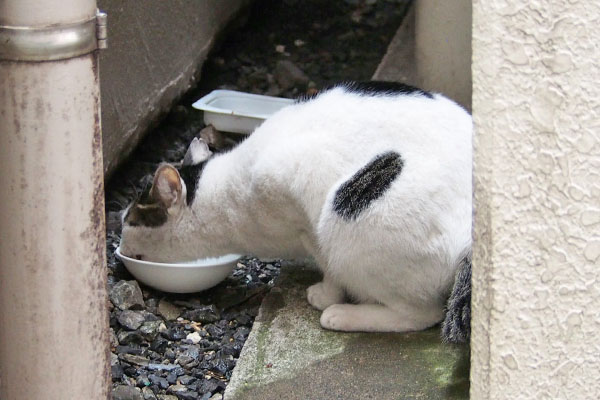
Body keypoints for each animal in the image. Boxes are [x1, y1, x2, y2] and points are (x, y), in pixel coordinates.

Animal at [119, 83, 472, 336]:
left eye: (128, 220)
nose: (119, 246)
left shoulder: (308, 190)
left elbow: (328, 265)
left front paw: (327, 295)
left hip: (344, 216)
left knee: (422, 315)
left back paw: (343, 315)